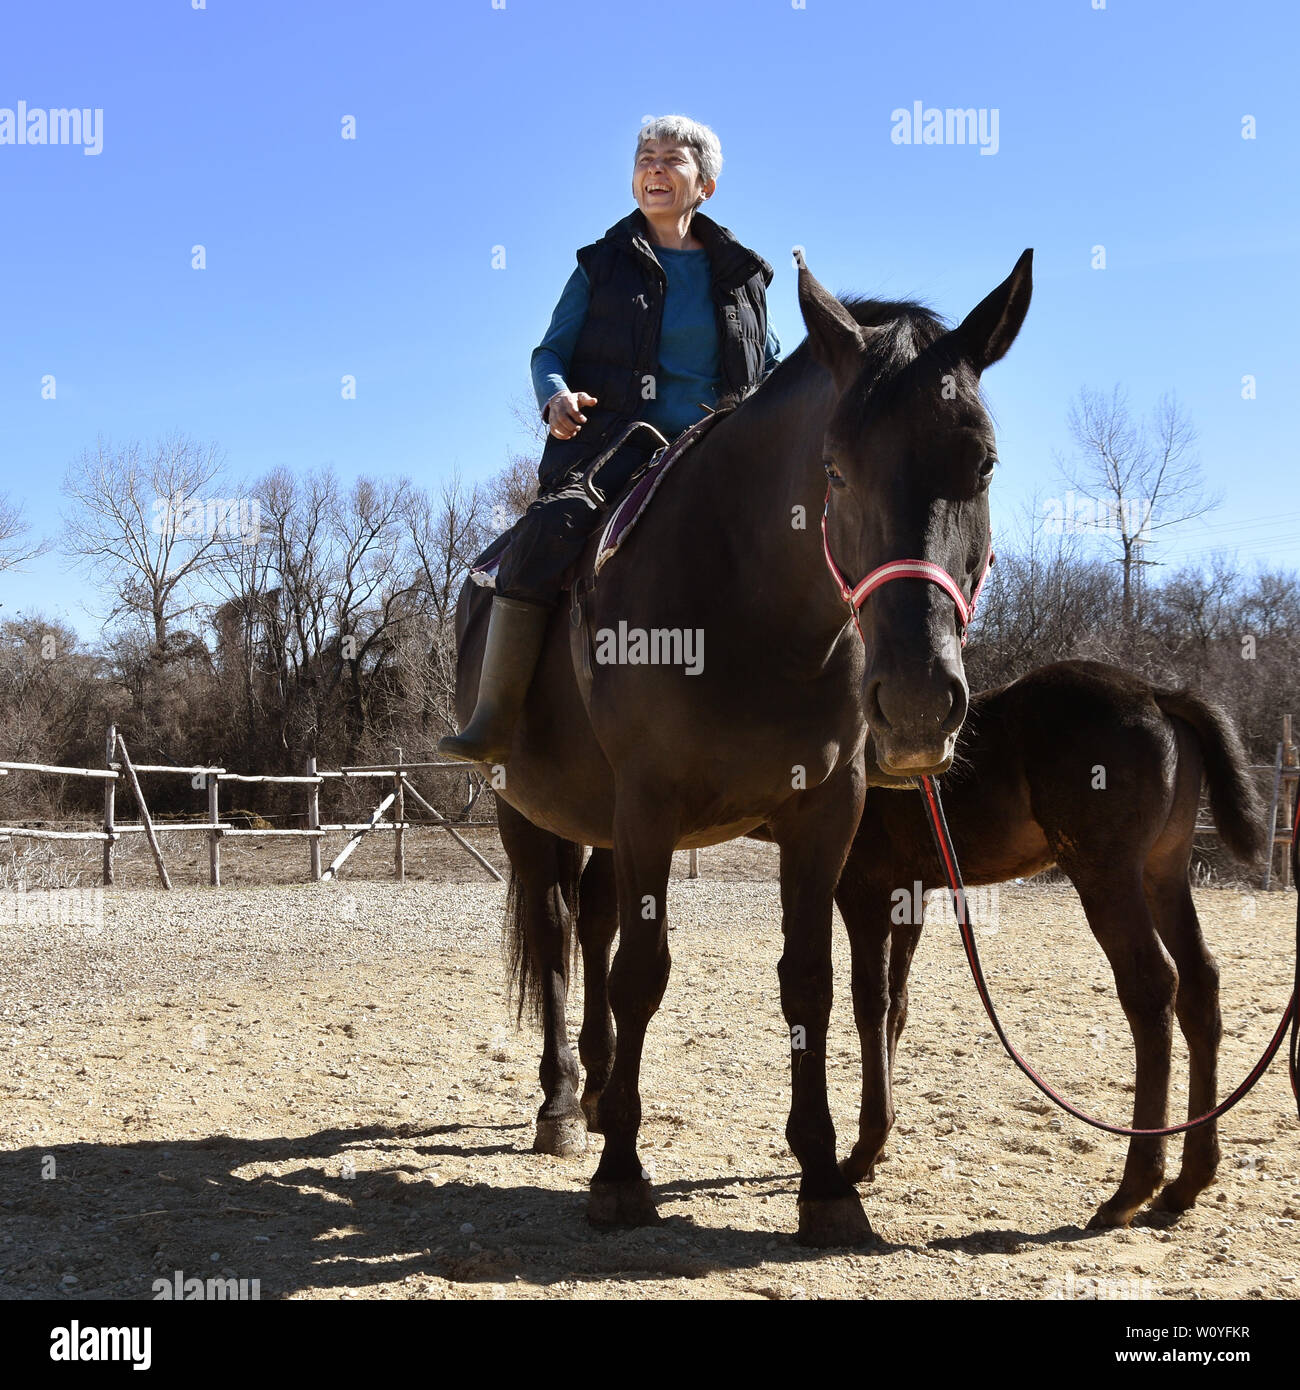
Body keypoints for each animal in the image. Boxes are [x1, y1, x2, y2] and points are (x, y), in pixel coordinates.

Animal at [458, 250, 1034, 1251]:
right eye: (836, 469)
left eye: (984, 461)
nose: (918, 702)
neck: (745, 602)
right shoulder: (649, 807)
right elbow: (643, 974)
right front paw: (622, 1174)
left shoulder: (824, 817)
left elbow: (808, 984)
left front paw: (825, 1180)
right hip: (529, 816)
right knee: (563, 937)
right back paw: (566, 1104)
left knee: (596, 927)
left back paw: (601, 1090)